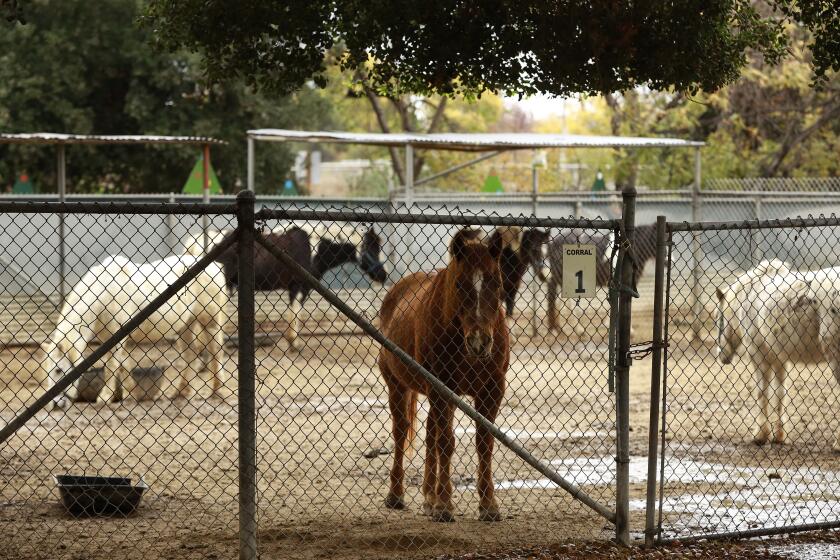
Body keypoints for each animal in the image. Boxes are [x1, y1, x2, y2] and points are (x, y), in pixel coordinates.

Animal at [43, 253, 230, 406]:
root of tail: (214, 265)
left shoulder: (116, 336)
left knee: (216, 351)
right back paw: (181, 392)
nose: (56, 403)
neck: (104, 294)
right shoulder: (109, 338)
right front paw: (135, 393)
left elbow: (111, 365)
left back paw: (217, 391)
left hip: (210, 321)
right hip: (185, 325)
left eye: (59, 370)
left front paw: (105, 397)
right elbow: (123, 364)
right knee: (191, 353)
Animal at [378, 226, 508, 520]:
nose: (479, 342)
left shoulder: (492, 390)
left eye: (496, 282)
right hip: (397, 385)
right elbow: (446, 442)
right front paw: (445, 504)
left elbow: (484, 443)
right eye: (459, 284)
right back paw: (397, 494)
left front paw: (488, 505)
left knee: (429, 433)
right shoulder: (441, 387)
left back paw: (429, 495)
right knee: (401, 431)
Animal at [716, 260, 840, 450]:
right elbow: (780, 394)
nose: (721, 355)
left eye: (719, 318)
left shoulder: (758, 356)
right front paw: (779, 436)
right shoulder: (779, 360)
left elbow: (762, 392)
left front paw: (760, 435)